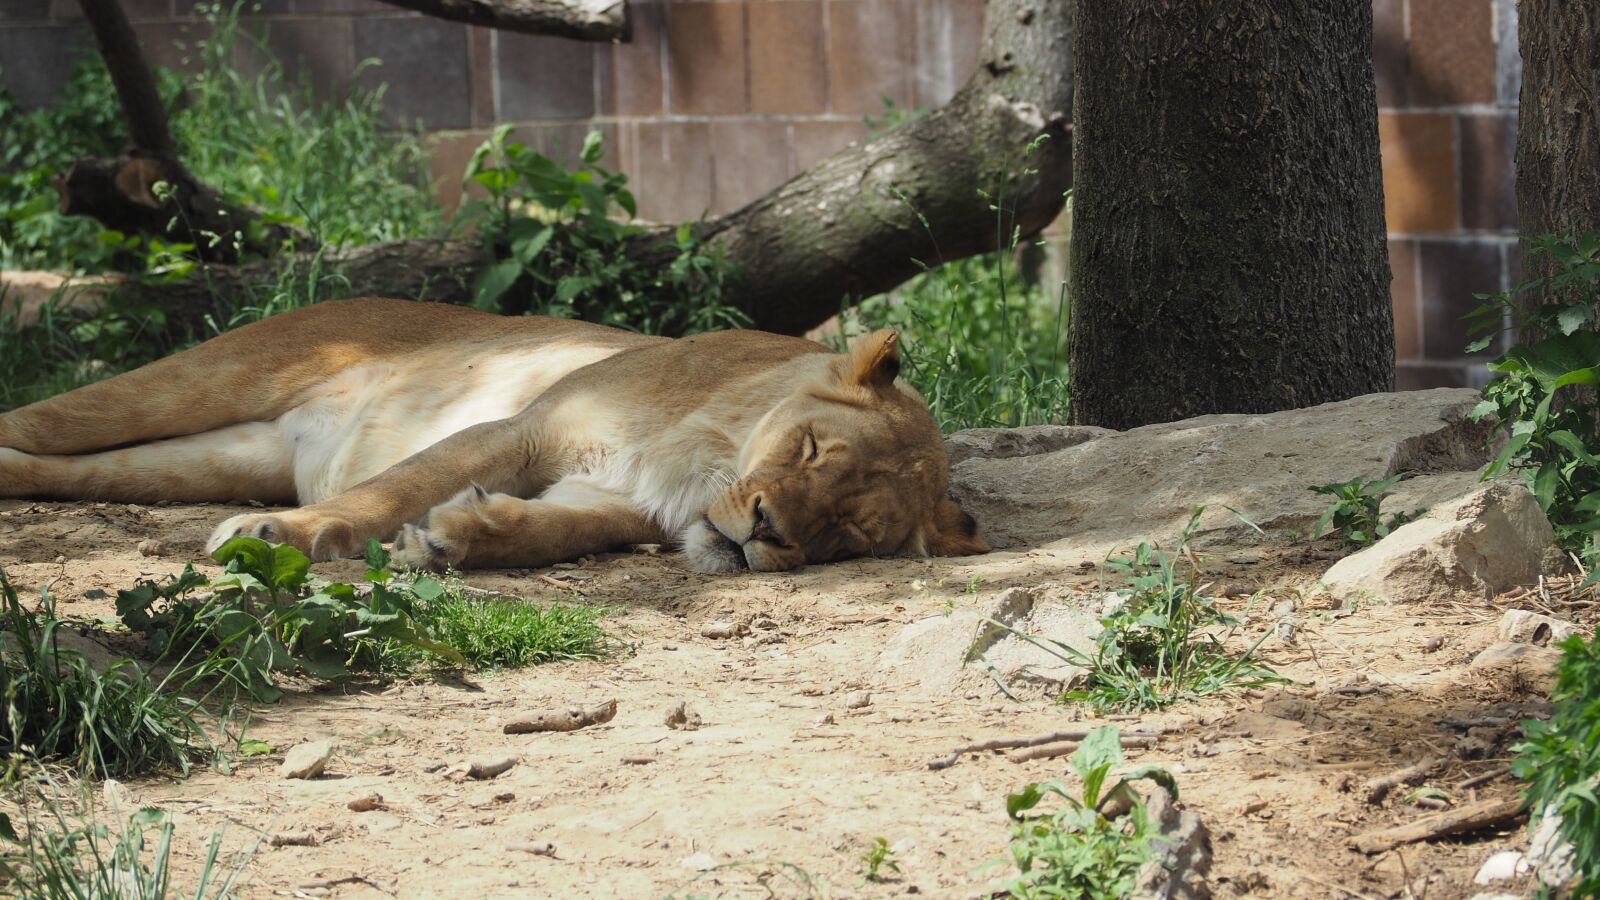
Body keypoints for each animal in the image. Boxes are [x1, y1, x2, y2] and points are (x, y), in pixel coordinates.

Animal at [0, 299, 989, 573]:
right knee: (36, 418)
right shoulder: (521, 427)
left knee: (51, 467)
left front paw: (458, 538)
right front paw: (284, 538)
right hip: (198, 379)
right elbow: (394, 486)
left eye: (846, 533)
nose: (766, 533)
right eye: (814, 449)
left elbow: (560, 531)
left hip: (215, 458)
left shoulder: (613, 500)